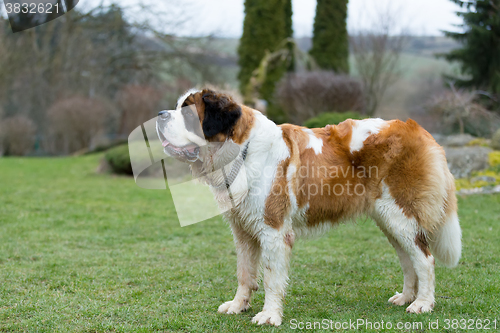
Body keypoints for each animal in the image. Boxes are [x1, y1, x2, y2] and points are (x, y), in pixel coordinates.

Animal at [155, 87, 460, 324]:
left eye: (187, 112)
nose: (159, 115)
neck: (242, 151)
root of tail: (417, 129)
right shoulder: (242, 230)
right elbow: (244, 272)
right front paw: (238, 305)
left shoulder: (273, 229)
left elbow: (271, 276)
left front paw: (269, 315)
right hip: (389, 220)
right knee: (409, 259)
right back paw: (406, 297)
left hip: (400, 214)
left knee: (425, 259)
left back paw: (422, 304)